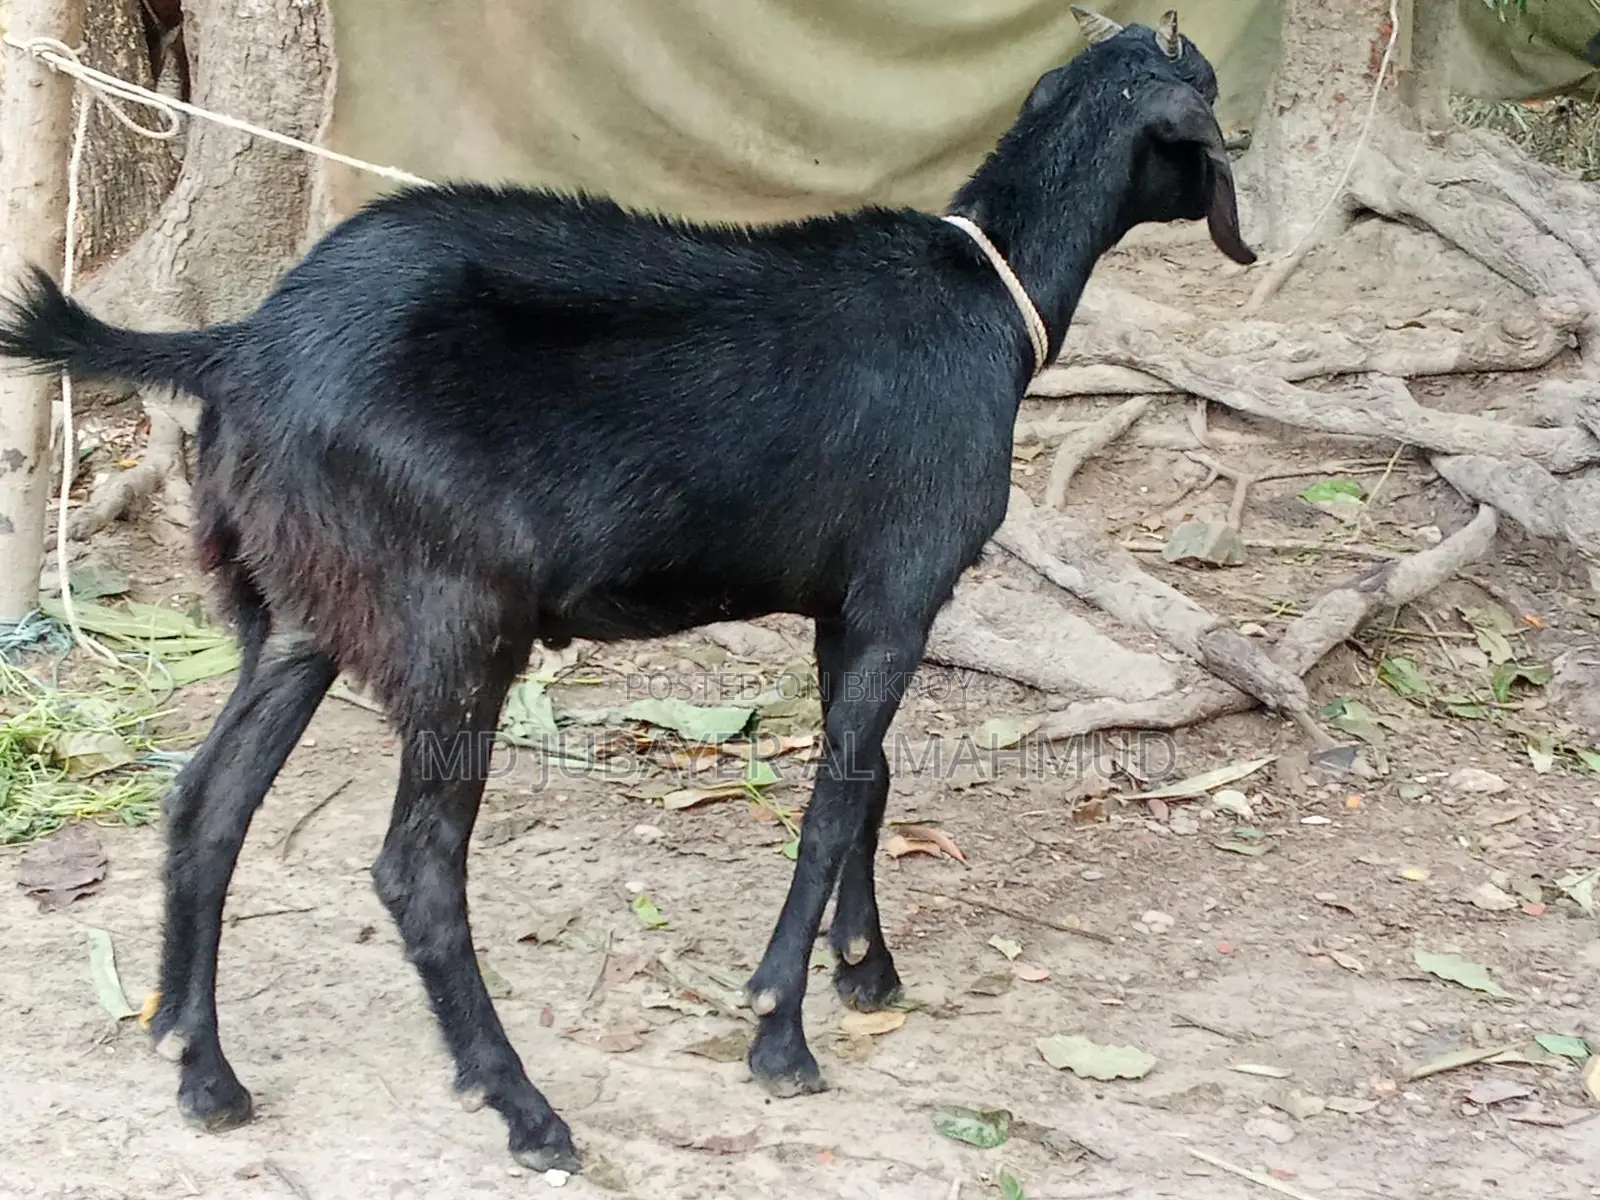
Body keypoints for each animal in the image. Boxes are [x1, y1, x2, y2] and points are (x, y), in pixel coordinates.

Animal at [0, 6, 1251, 1175]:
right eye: (1204, 92)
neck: (984, 292)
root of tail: (242, 347)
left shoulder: (849, 606)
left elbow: (871, 779)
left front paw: (865, 969)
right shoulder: (904, 589)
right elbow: (834, 799)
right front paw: (778, 1031)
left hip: (298, 612)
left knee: (206, 805)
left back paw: (199, 1068)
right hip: (458, 620)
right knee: (415, 869)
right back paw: (522, 1107)